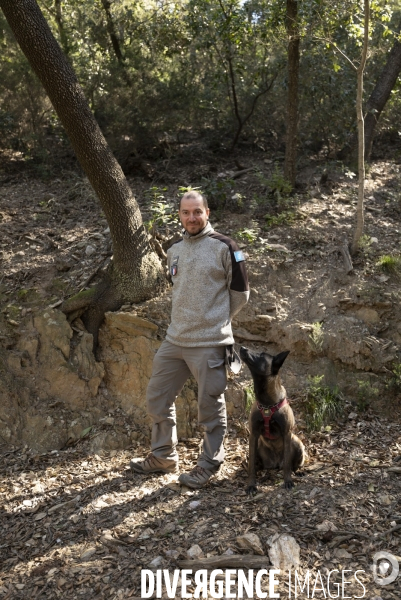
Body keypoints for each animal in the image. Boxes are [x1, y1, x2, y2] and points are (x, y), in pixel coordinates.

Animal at [239, 346, 304, 492]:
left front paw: (288, 481)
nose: (242, 347)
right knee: (255, 465)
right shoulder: (253, 435)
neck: (267, 404)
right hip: (256, 447)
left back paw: (297, 471)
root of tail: (275, 464)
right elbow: (251, 466)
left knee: (292, 465)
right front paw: (251, 484)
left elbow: (287, 464)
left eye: (262, 355)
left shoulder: (286, 433)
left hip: (297, 443)